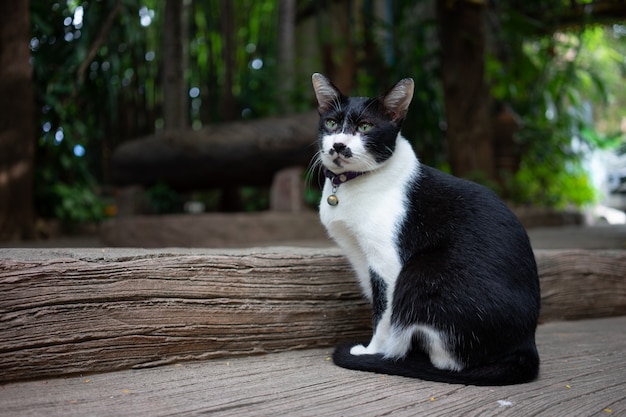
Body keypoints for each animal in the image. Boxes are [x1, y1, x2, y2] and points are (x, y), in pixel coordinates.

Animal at [310, 73, 540, 386]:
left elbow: (384, 312)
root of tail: (526, 344)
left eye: (366, 126)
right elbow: (378, 304)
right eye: (332, 123)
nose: (339, 146)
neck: (349, 186)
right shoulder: (359, 255)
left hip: (422, 271)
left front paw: (372, 351)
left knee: (449, 361)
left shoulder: (387, 263)